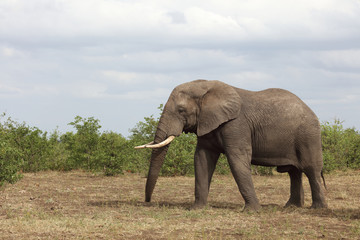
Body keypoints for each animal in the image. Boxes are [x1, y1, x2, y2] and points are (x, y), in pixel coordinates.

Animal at [135, 79, 326, 210]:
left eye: (181, 110)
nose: (148, 201)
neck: (207, 88)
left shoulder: (236, 124)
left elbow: (237, 159)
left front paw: (252, 211)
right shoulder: (207, 122)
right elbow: (202, 159)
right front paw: (197, 209)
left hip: (308, 135)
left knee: (311, 170)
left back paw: (318, 209)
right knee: (294, 172)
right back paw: (291, 207)